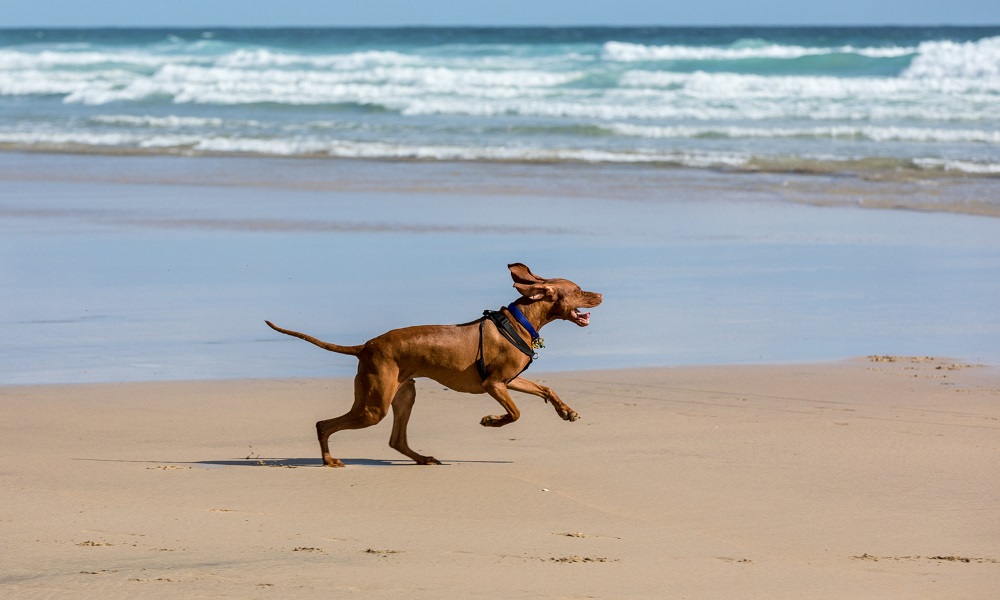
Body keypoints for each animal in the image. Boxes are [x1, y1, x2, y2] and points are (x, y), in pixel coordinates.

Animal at [266, 264, 600, 468]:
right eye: (579, 290)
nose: (600, 294)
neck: (520, 321)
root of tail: (366, 346)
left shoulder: (509, 380)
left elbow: (546, 388)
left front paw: (566, 411)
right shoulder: (493, 384)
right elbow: (515, 414)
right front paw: (491, 421)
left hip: (402, 394)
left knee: (396, 439)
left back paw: (422, 458)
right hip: (374, 407)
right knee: (324, 425)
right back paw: (329, 460)